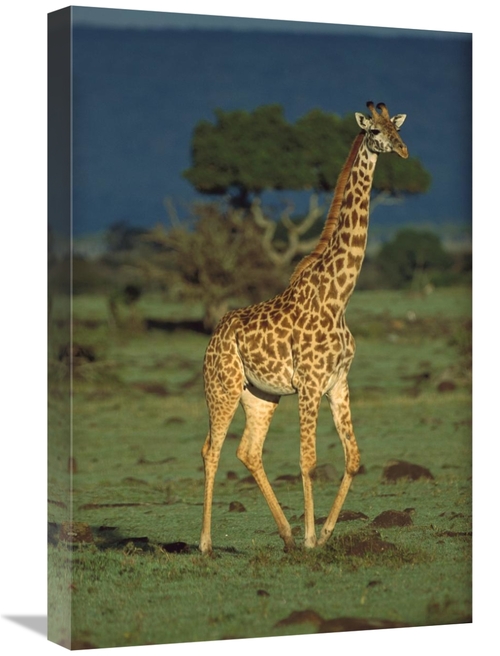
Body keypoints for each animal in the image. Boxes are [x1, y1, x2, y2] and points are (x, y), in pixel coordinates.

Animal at [200, 101, 408, 554]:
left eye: (397, 128)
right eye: (374, 131)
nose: (402, 150)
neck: (339, 296)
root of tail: (213, 337)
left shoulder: (338, 382)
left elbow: (353, 457)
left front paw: (325, 533)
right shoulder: (310, 385)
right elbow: (308, 460)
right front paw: (314, 537)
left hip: (260, 395)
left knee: (248, 451)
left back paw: (287, 535)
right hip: (222, 388)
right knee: (211, 450)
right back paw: (205, 544)